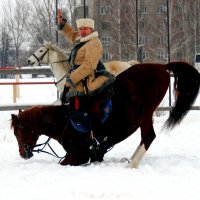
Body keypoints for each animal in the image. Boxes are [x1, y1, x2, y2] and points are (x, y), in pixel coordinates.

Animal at [10, 56, 200, 167]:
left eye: (19, 132)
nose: (22, 153)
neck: (63, 121)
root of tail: (161, 67)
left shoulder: (78, 154)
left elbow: (66, 161)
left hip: (144, 112)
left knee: (148, 136)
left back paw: (131, 164)